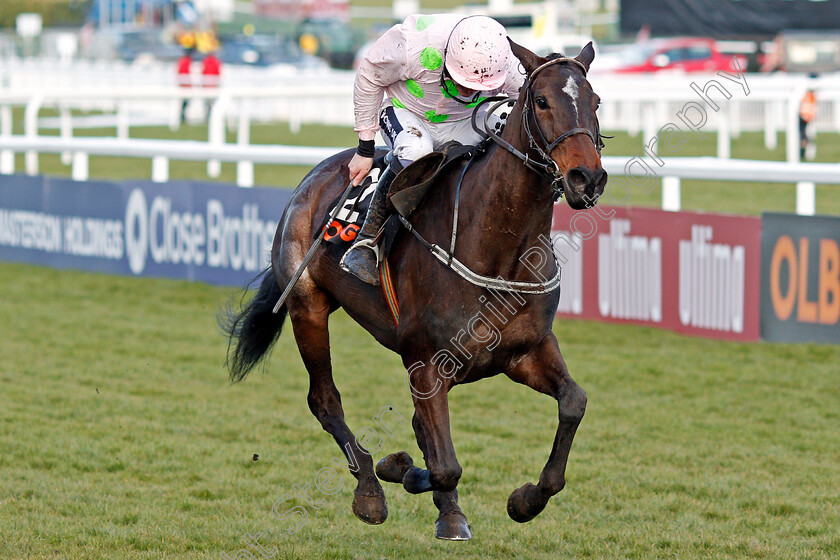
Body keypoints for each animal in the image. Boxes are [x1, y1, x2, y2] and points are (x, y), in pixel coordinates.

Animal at [220, 41, 608, 540]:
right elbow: (444, 465)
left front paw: (525, 500)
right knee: (324, 400)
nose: (586, 178)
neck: (497, 246)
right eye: (541, 102)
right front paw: (435, 501)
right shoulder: (425, 363)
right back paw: (369, 490)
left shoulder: (526, 351)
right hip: (307, 306)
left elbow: (573, 404)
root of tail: (314, 177)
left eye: (595, 103)